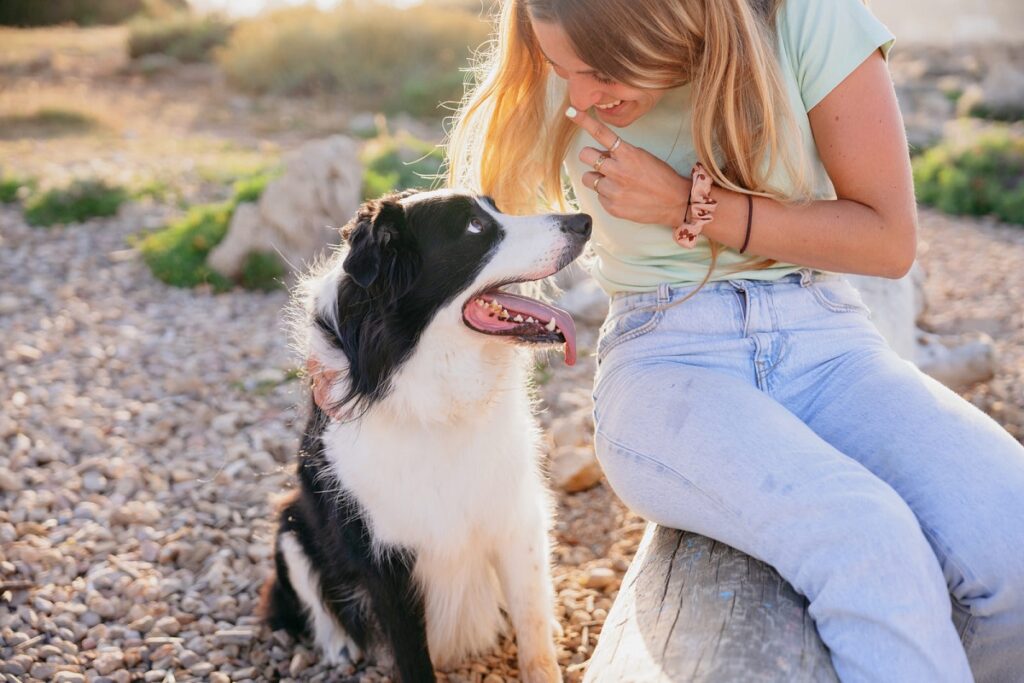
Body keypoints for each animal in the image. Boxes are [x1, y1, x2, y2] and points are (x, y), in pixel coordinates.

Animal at [262, 188, 593, 683]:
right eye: (475, 227)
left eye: (496, 207)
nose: (584, 221)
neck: (437, 398)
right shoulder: (384, 558)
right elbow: (411, 656)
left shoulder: (517, 518)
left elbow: (533, 628)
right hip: (291, 522)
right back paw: (339, 645)